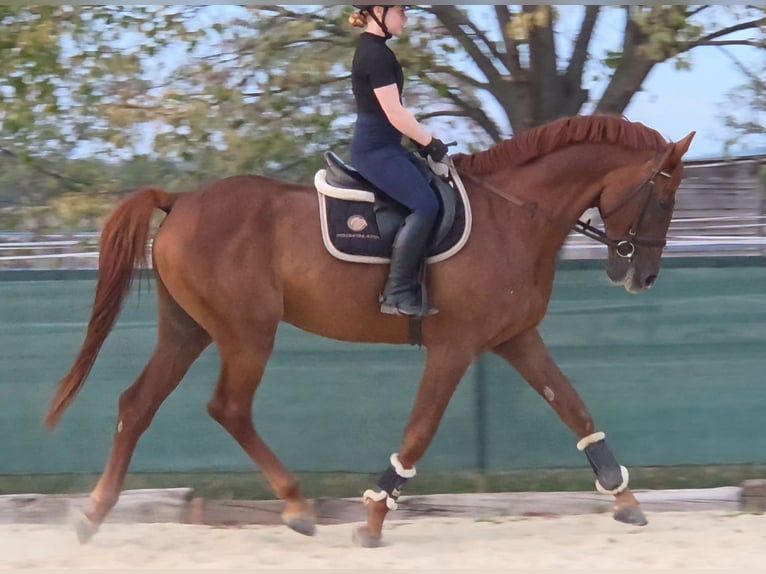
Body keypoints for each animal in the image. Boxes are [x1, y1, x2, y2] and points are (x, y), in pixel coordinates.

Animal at [44, 114, 694, 547]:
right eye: (663, 198)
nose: (644, 275)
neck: (514, 214)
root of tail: (180, 200)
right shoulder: (454, 347)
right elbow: (420, 430)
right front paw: (376, 515)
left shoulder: (516, 339)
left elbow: (574, 409)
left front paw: (624, 497)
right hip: (247, 333)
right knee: (227, 407)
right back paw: (296, 505)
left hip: (188, 331)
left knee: (138, 403)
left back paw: (93, 514)